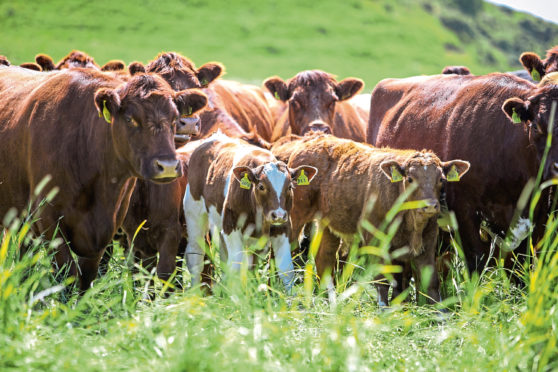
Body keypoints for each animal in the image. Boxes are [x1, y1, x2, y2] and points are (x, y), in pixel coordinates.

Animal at [0, 67, 208, 294]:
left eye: (174, 118)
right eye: (130, 119)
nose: (168, 166)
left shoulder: (106, 228)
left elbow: (87, 278)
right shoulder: (48, 220)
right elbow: (68, 275)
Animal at [183, 133, 318, 290]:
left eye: (290, 186)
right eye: (261, 186)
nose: (278, 215)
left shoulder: (282, 229)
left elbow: (286, 270)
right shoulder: (231, 228)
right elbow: (236, 267)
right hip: (194, 214)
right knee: (195, 255)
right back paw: (195, 290)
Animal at [278, 135, 470, 306]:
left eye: (441, 179)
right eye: (409, 179)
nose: (429, 205)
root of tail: (313, 139)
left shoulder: (428, 242)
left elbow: (430, 282)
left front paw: (438, 314)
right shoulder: (375, 240)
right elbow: (382, 280)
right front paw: (383, 309)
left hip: (328, 225)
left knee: (324, 258)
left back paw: (327, 297)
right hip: (295, 216)